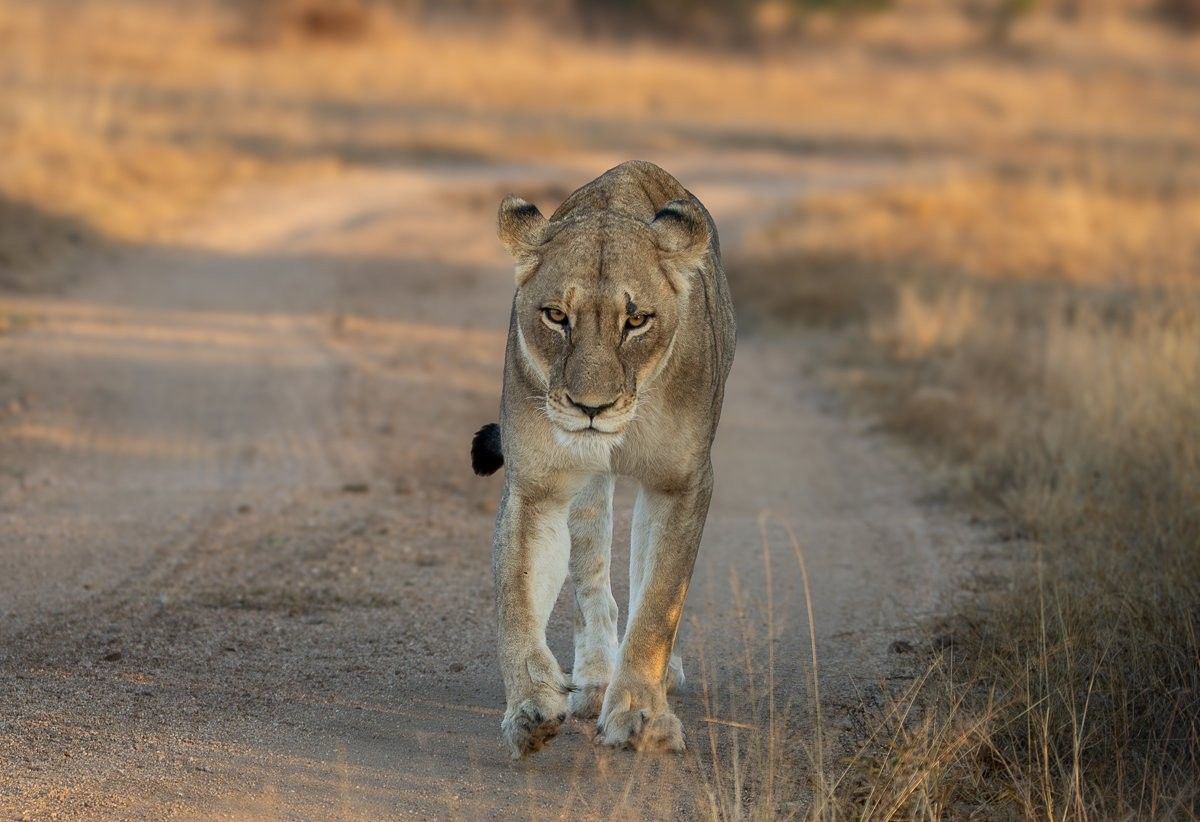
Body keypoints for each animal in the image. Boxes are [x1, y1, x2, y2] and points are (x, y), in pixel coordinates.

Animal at [471, 160, 736, 758]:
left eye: (636, 321)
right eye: (555, 316)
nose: (590, 408)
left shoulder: (681, 483)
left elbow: (659, 603)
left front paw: (640, 714)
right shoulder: (538, 485)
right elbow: (515, 597)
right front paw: (530, 706)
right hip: (587, 491)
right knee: (592, 578)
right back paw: (592, 681)